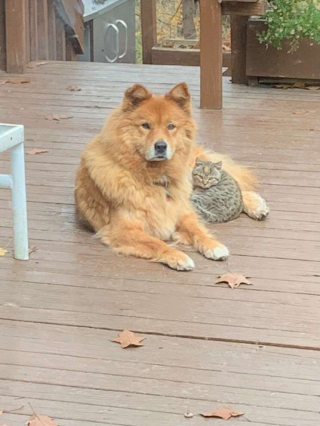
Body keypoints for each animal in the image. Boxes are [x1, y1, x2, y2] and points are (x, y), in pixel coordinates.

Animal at [74, 83, 268, 270]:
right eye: (146, 125)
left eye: (170, 126)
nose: (161, 146)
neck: (154, 177)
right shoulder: (123, 229)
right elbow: (157, 243)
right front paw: (178, 257)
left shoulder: (181, 211)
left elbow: (197, 230)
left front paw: (213, 245)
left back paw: (257, 206)